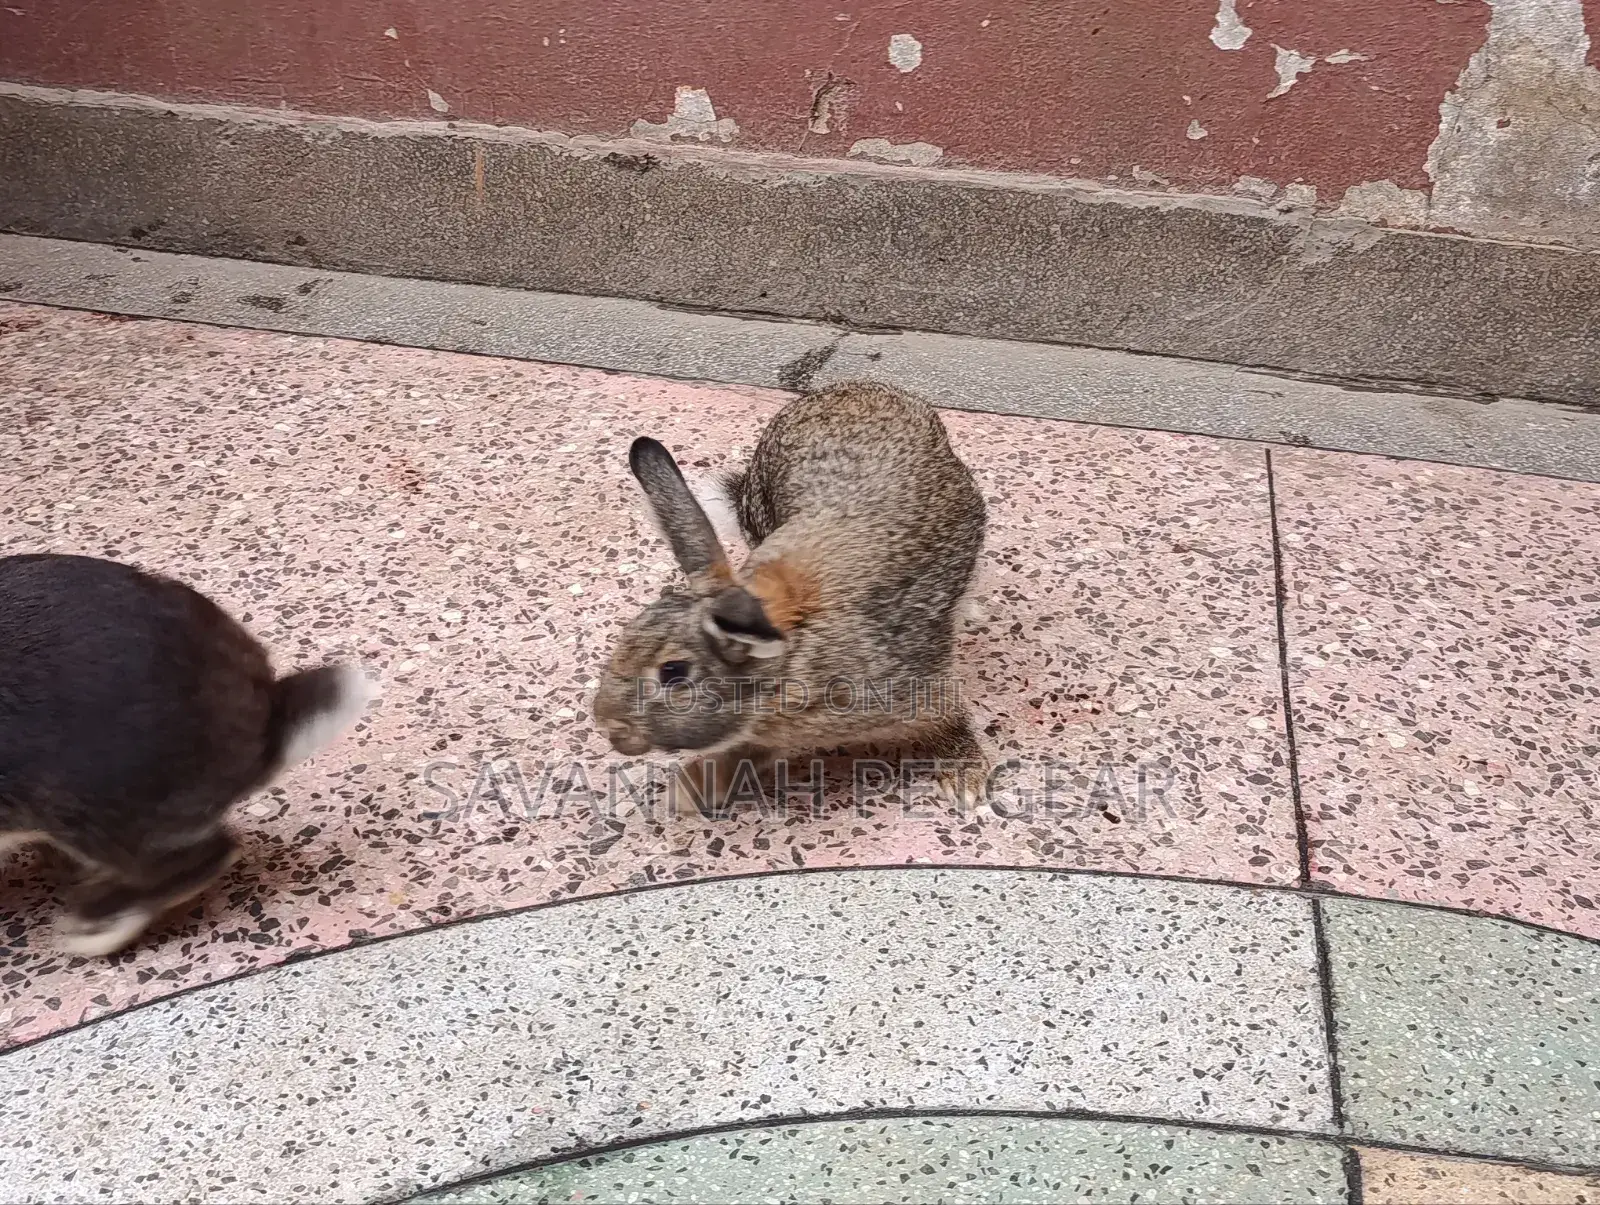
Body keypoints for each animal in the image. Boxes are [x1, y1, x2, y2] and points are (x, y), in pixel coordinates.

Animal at [592, 380, 988, 816]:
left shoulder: (916, 689)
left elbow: (948, 721)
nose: (606, 723)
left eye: (673, 672)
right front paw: (693, 789)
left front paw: (965, 783)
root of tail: (855, 388)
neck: (784, 667)